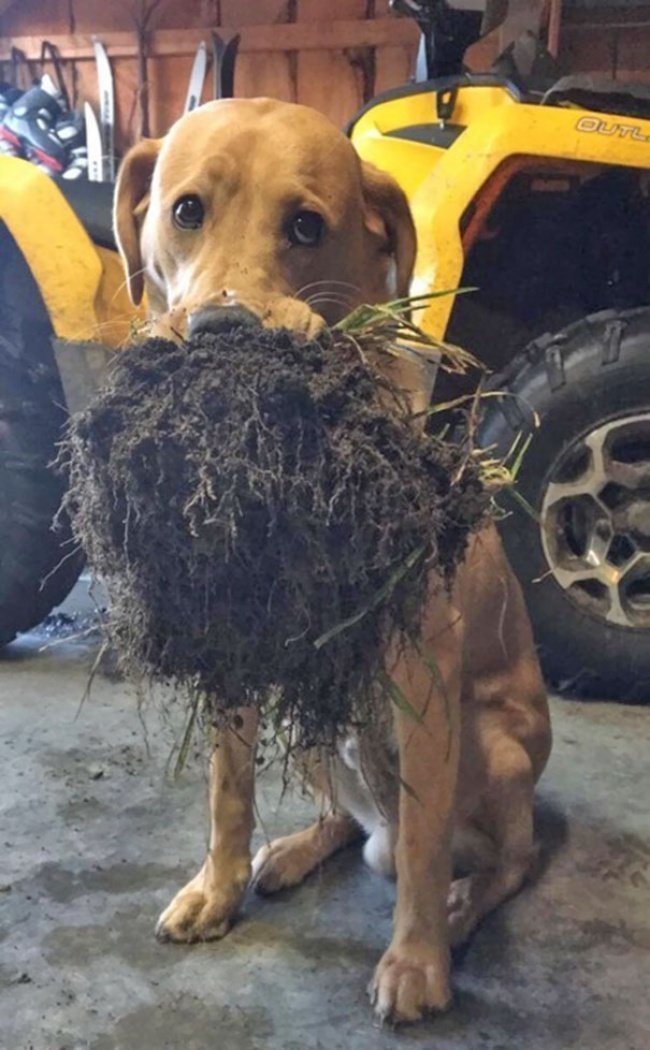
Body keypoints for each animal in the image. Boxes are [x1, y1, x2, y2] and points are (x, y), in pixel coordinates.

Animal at [114, 100, 550, 1024]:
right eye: (186, 210)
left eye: (307, 227)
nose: (222, 334)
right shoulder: (236, 650)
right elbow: (227, 793)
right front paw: (217, 888)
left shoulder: (423, 681)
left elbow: (423, 847)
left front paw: (417, 961)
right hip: (311, 718)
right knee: (350, 821)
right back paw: (294, 849)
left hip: (492, 743)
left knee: (504, 860)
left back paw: (461, 908)